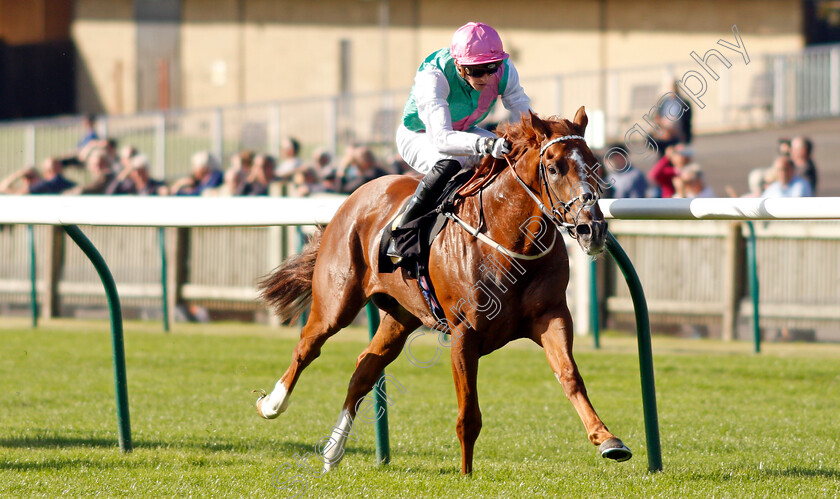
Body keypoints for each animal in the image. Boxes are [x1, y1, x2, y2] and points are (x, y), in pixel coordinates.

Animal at [256, 107, 632, 474]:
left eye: (594, 165)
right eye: (553, 167)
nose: (592, 229)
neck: (509, 238)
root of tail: (355, 197)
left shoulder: (551, 316)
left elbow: (570, 376)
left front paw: (608, 440)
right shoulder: (464, 333)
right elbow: (469, 415)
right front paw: (466, 475)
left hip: (401, 316)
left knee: (365, 367)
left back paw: (333, 452)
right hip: (336, 302)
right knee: (307, 347)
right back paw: (272, 404)